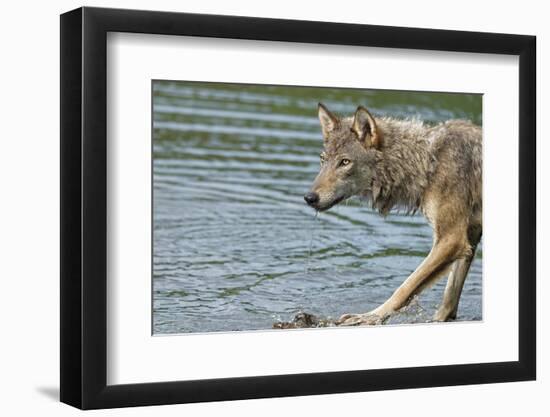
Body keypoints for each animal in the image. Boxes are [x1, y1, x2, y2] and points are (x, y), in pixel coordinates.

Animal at [306, 102, 484, 324]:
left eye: (345, 162)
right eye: (323, 160)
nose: (309, 197)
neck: (428, 163)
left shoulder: (452, 239)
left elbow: (405, 287)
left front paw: (369, 317)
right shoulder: (470, 237)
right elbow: (449, 299)